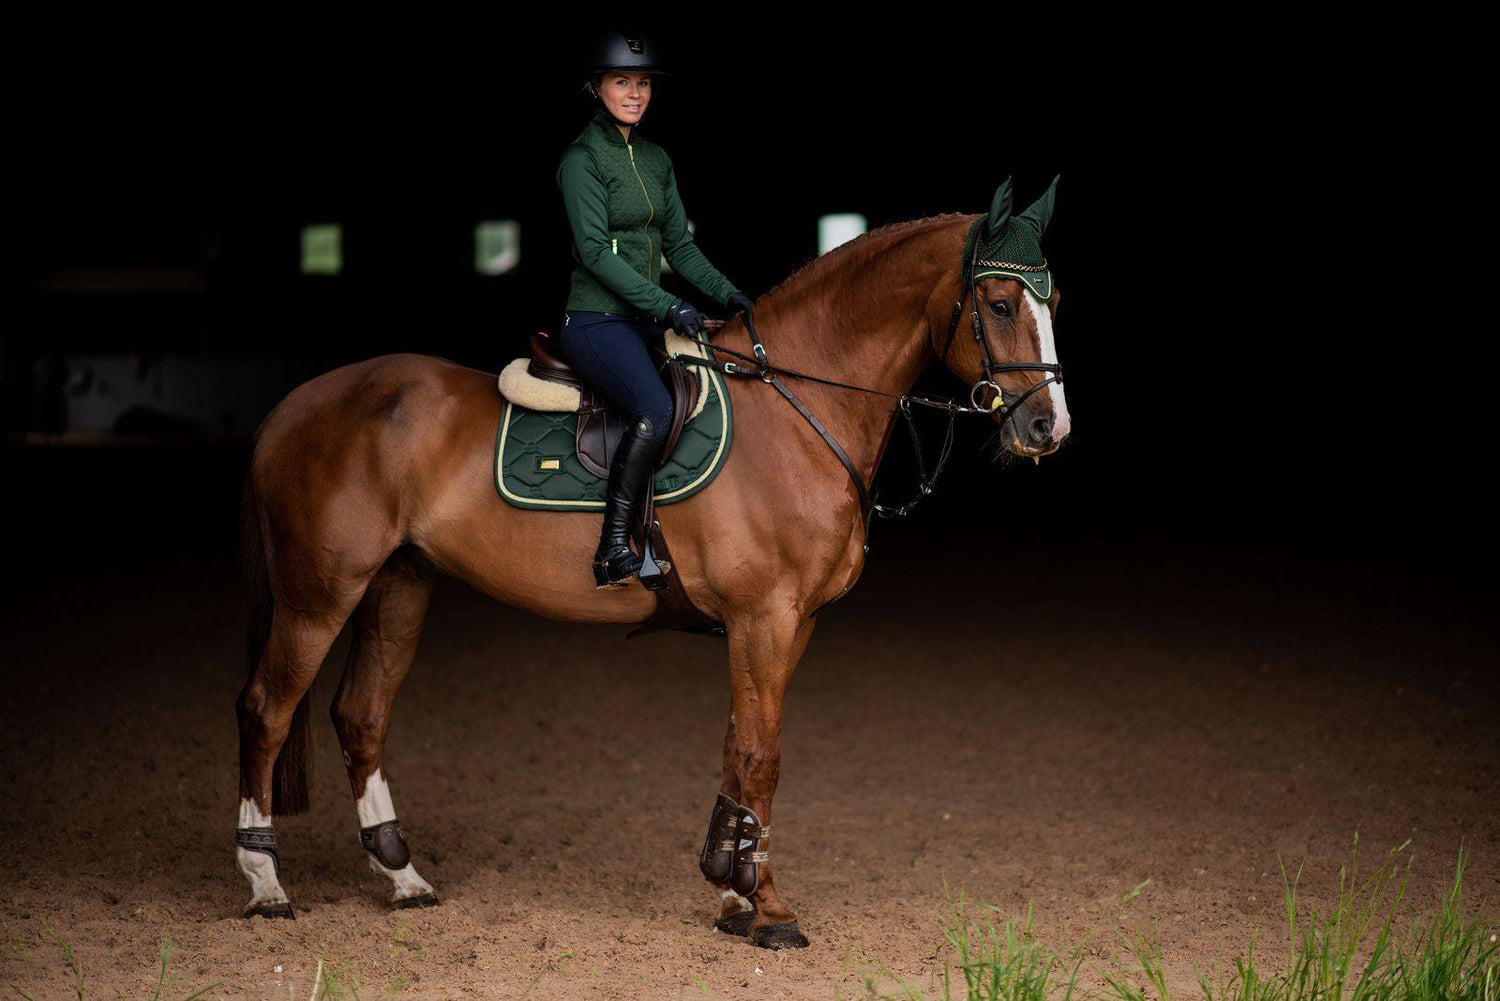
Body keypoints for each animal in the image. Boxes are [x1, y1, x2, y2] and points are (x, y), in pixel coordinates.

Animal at [231, 193, 1068, 948]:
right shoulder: (765, 617)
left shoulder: (787, 624)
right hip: (319, 595)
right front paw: (768, 908)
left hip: (398, 586)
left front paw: (730, 889)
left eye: (1051, 300)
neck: (794, 410)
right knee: (268, 709)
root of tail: (294, 406)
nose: (1047, 427)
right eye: (999, 303)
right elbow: (763, 756)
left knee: (360, 713)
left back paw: (402, 876)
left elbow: (738, 745)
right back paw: (266, 885)